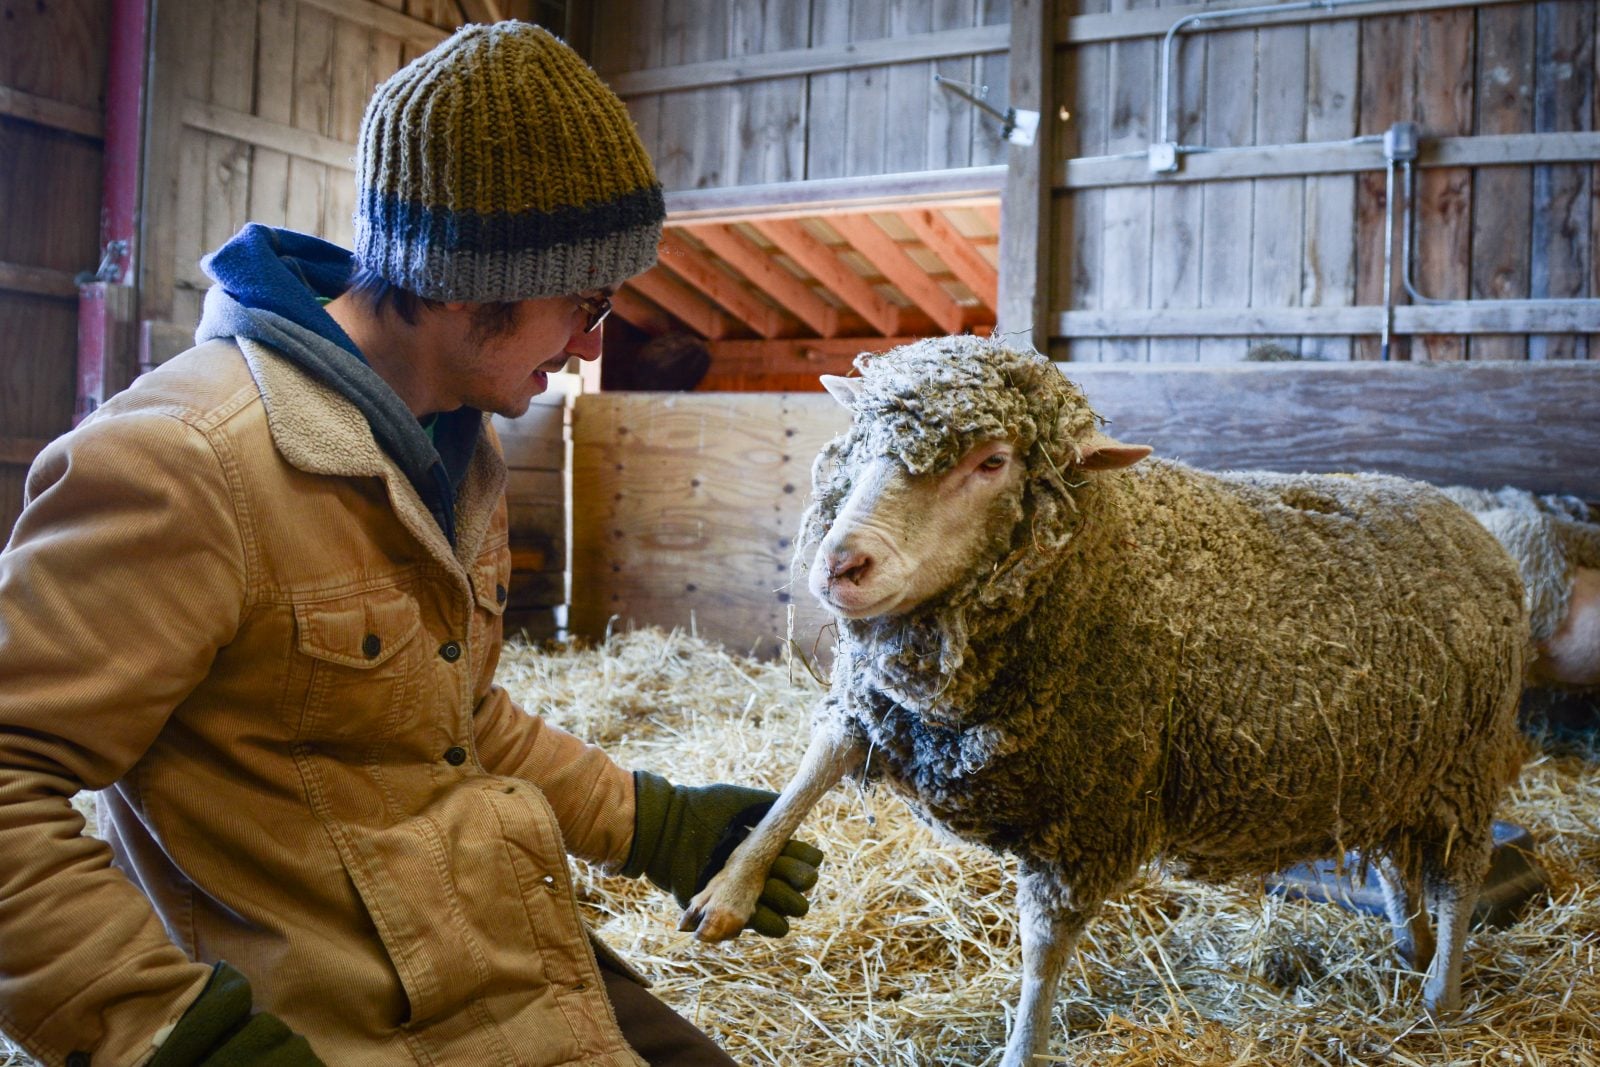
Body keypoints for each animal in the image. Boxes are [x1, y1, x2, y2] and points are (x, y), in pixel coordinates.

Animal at [679, 336, 1529, 1067]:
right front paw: (731, 889)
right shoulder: (882, 703)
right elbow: (809, 771)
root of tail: (1463, 518)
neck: (1093, 560)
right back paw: (1411, 946)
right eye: (859, 443)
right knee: (1394, 864)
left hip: (1469, 760)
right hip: (1396, 763)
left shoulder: (1090, 810)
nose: (840, 565)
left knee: (1458, 876)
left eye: (993, 461)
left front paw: (1022, 1048)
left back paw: (1441, 992)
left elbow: (1042, 949)